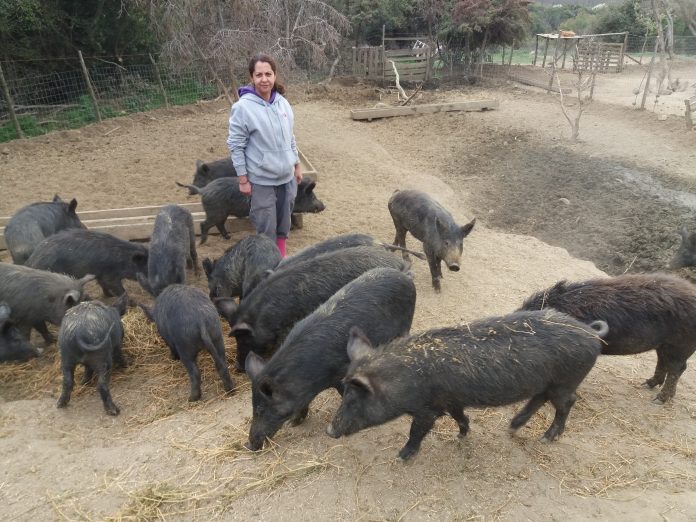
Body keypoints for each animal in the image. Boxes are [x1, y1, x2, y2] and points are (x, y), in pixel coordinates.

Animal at [246, 266, 418, 448]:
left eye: (260, 410)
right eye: (253, 407)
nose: (249, 445)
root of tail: (403, 275)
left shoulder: (342, 372)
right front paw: (295, 423)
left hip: (406, 324)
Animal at [328, 308, 608, 460]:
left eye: (354, 397)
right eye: (345, 393)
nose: (330, 431)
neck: (402, 379)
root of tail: (592, 333)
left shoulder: (427, 409)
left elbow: (416, 431)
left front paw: (401, 456)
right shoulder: (451, 399)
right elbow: (459, 416)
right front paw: (462, 435)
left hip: (565, 381)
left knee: (566, 403)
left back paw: (546, 439)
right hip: (547, 383)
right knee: (539, 399)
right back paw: (512, 428)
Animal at [520, 272, 696, 402]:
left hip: (680, 345)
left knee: (678, 368)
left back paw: (659, 400)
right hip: (664, 345)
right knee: (663, 362)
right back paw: (646, 384)